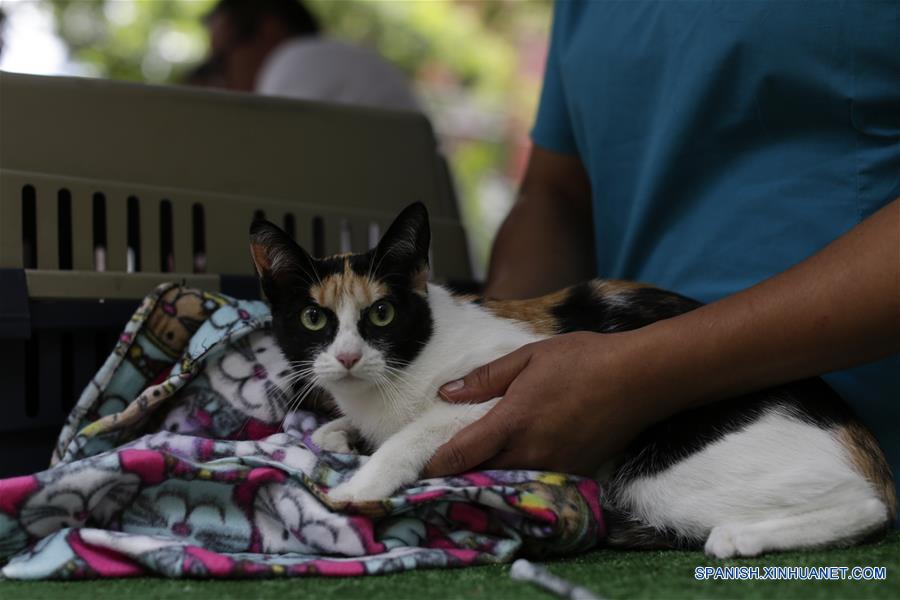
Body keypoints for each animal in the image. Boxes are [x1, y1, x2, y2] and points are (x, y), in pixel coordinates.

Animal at [246, 202, 892, 556]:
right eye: (314, 319)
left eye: (381, 314)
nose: (348, 357)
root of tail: (867, 449)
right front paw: (332, 433)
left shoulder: (493, 389)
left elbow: (413, 435)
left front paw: (359, 486)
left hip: (657, 475)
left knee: (871, 510)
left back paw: (741, 537)